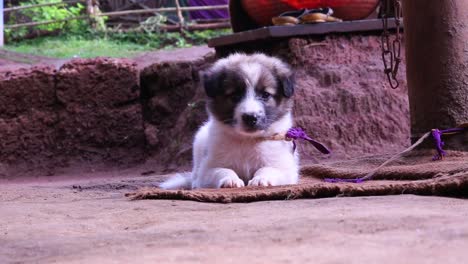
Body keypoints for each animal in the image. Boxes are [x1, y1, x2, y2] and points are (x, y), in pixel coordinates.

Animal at [162, 54, 300, 190]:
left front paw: (261, 179)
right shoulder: (208, 168)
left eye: (265, 95)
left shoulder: (284, 168)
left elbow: (267, 169)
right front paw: (231, 180)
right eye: (235, 95)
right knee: (195, 176)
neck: (247, 140)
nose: (250, 117)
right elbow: (223, 170)